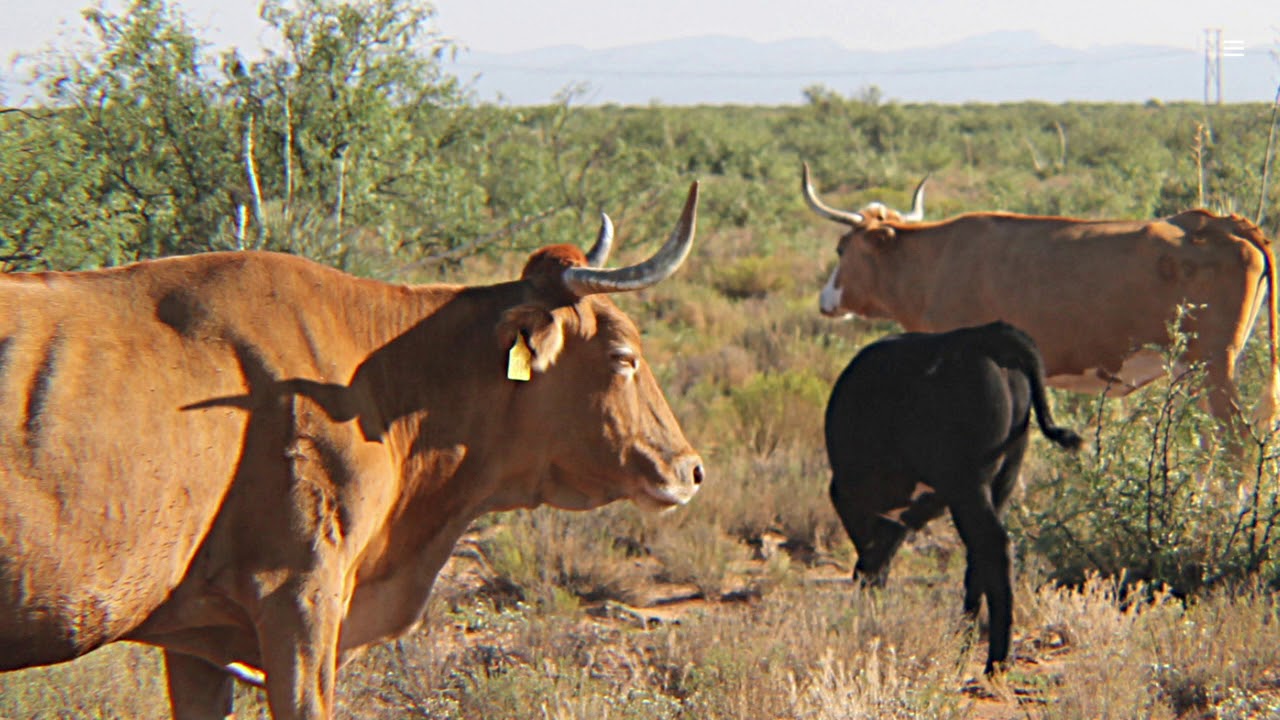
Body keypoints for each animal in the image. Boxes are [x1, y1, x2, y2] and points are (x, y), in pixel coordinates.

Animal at [802, 163, 1280, 438]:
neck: (936, 261)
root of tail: (1218, 222)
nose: (825, 299)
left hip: (1213, 367)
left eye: (841, 248)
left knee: (1238, 443)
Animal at [824, 321, 1082, 674]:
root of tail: (984, 335)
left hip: (966, 486)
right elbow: (878, 563)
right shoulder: (900, 518)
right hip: (1001, 480)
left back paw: (995, 664)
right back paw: (962, 650)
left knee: (994, 549)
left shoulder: (856, 504)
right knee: (978, 559)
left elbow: (869, 565)